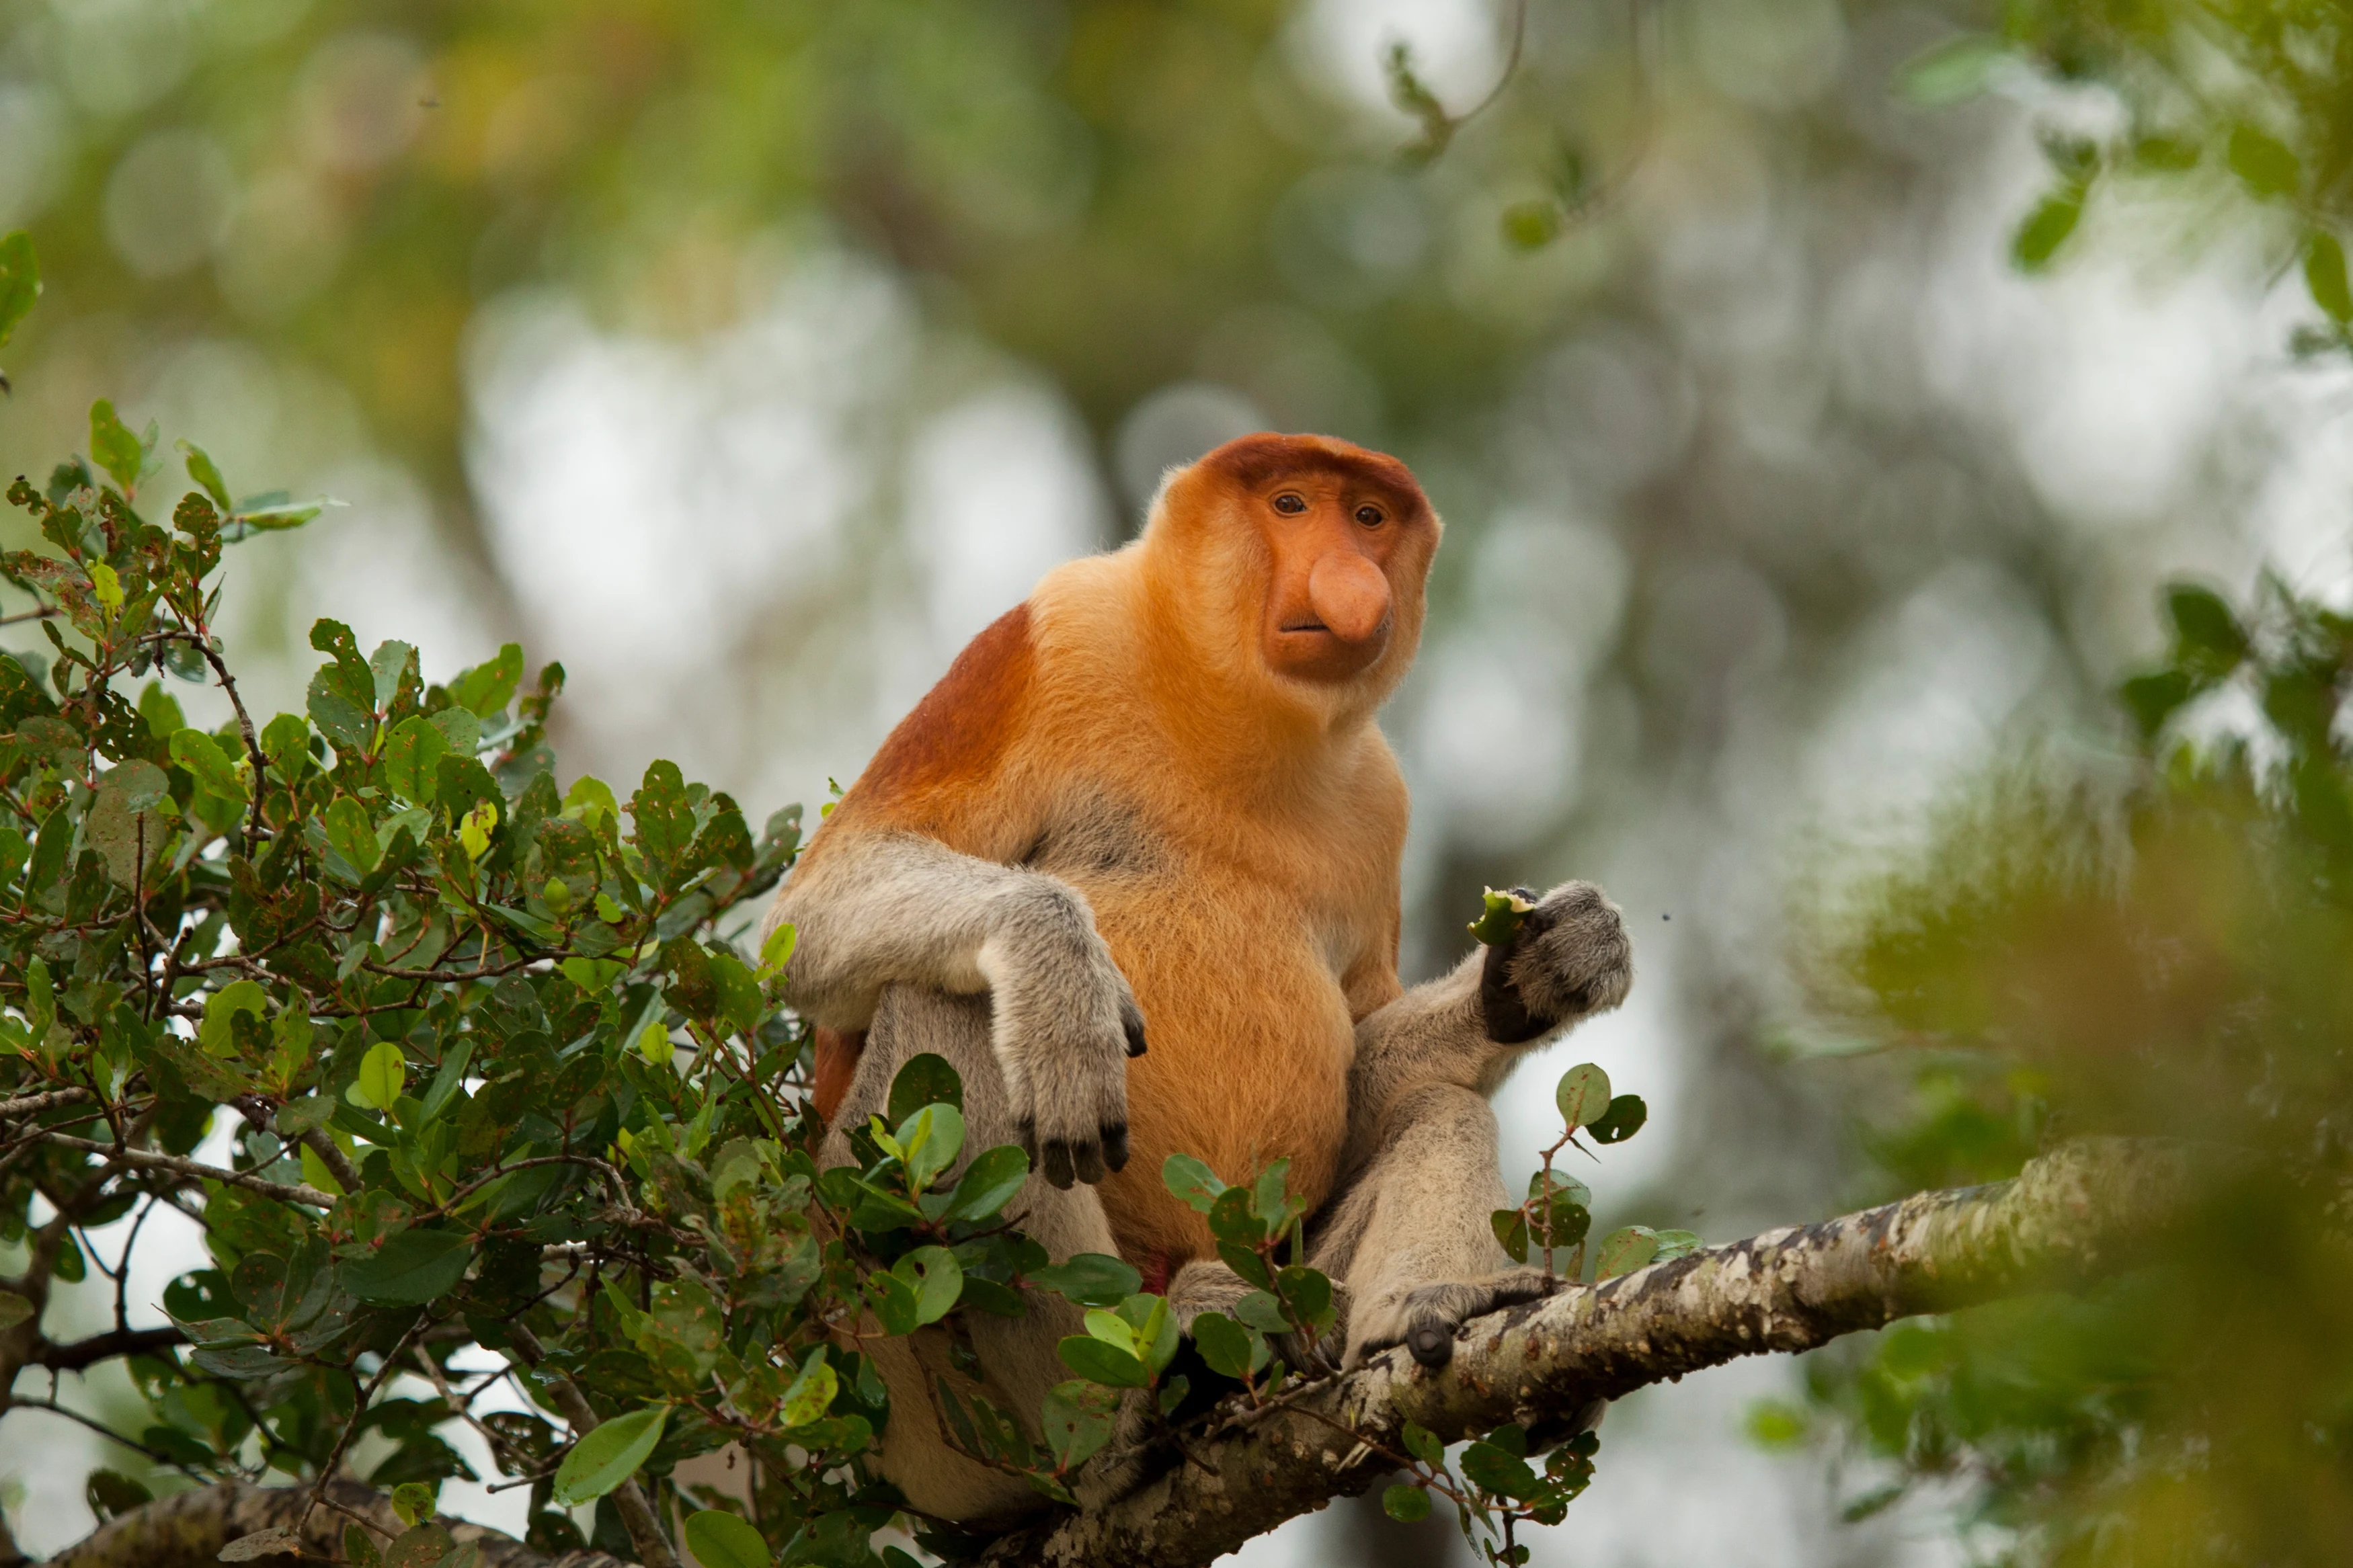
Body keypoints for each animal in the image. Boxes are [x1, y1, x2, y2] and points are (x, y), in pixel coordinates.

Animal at [762, 432, 1633, 1524]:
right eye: (1291, 504)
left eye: (1368, 519)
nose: (1351, 582)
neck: (1235, 711)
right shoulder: (1044, 644)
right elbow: (816, 909)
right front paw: (1062, 981)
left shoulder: (1381, 800)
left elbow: (1363, 1064)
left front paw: (1541, 962)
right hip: (902, 1382)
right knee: (949, 1013)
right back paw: (1122, 1425)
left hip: (1293, 1286)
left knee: (1440, 1110)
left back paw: (1419, 1316)